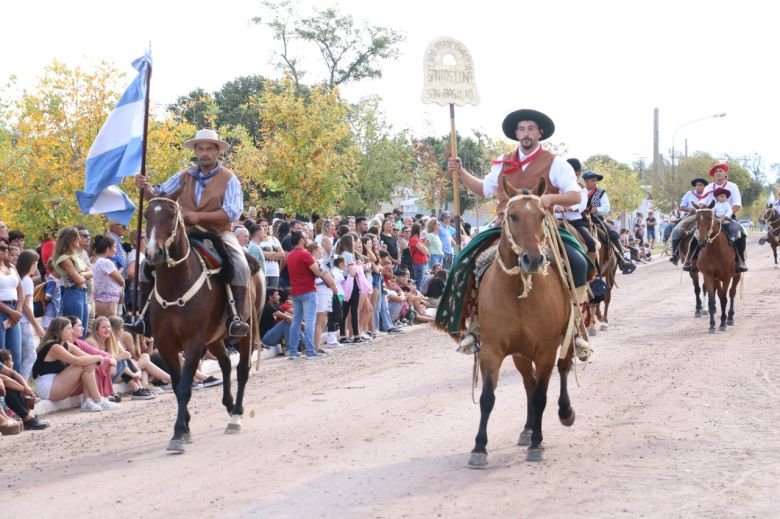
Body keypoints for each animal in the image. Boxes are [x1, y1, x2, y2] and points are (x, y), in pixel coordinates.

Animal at [145, 197, 266, 452]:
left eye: (172, 215)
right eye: (147, 215)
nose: (152, 252)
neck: (176, 286)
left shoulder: (193, 343)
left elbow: (184, 387)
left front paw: (178, 432)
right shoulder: (166, 345)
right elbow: (178, 384)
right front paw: (185, 426)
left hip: (247, 329)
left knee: (242, 370)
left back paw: (236, 415)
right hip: (215, 339)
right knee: (226, 364)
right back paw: (229, 404)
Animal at [470, 179, 572, 468]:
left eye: (541, 216)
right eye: (513, 216)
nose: (533, 259)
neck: (518, 288)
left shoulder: (546, 350)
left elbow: (541, 396)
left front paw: (538, 443)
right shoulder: (492, 349)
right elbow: (488, 397)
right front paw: (479, 447)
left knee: (563, 369)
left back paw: (564, 412)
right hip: (520, 354)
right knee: (529, 382)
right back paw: (527, 429)